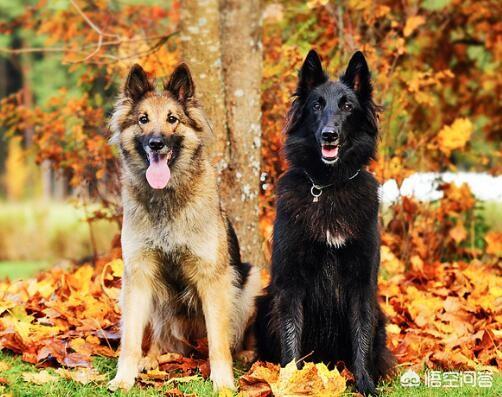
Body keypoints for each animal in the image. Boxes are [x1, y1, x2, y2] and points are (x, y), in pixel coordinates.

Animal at [108, 64, 260, 390]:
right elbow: (130, 340)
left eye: (172, 119)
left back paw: (245, 353)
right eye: (143, 119)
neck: (166, 198)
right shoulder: (138, 276)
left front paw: (223, 382)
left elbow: (218, 342)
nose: (156, 144)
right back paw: (153, 357)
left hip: (250, 279)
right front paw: (123, 378)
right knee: (161, 338)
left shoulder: (213, 279)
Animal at [256, 51, 394, 394]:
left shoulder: (362, 283)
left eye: (347, 105)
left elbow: (361, 337)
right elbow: (290, 339)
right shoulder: (290, 282)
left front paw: (365, 383)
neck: (328, 186)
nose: (329, 134)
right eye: (317, 105)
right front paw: (291, 382)